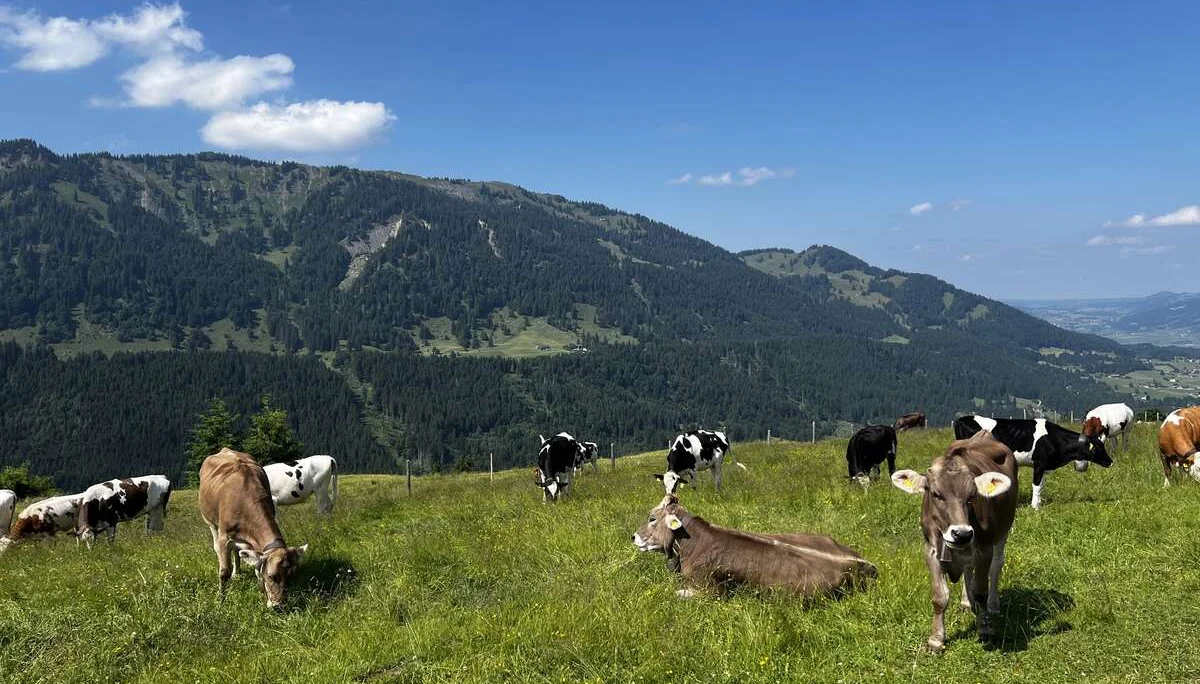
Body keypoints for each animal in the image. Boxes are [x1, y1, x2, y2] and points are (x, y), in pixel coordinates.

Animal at [199, 448, 308, 609]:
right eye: (271, 576)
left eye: (291, 577)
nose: (278, 606)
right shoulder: (224, 536)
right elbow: (224, 572)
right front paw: (221, 600)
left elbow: (257, 566)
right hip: (211, 522)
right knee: (218, 546)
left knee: (237, 551)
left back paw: (237, 572)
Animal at [891, 430, 1017, 653]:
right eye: (935, 494)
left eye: (972, 495)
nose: (962, 533)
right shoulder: (931, 550)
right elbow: (939, 596)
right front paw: (936, 639)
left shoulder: (984, 548)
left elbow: (981, 590)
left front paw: (985, 629)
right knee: (968, 569)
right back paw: (967, 603)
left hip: (1004, 530)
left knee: (996, 566)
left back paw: (993, 606)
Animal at [953, 415, 1111, 509]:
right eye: (1098, 448)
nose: (1110, 462)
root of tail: (961, 419)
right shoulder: (1039, 464)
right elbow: (1036, 486)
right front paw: (1035, 507)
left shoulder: (1045, 466)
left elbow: (1041, 486)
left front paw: (1039, 503)